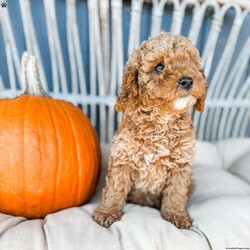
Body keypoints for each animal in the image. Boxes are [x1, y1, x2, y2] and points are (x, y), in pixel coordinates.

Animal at [93, 31, 207, 229]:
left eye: (191, 63)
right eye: (159, 67)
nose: (187, 80)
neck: (162, 117)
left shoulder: (181, 165)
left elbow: (177, 193)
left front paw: (177, 215)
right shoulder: (123, 158)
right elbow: (115, 188)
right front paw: (107, 212)